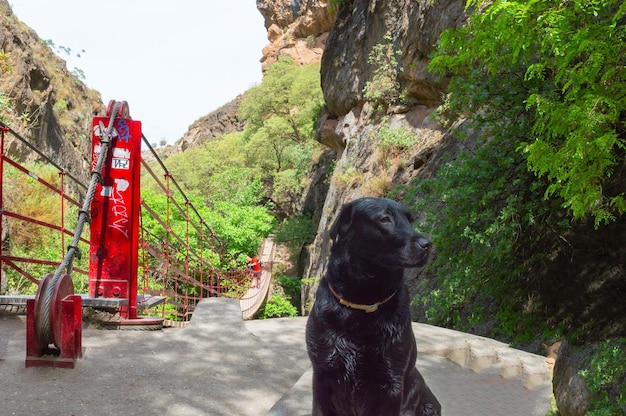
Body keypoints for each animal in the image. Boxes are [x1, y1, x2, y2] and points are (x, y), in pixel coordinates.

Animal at [306, 197, 441, 416]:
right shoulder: (322, 376)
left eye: (409, 220)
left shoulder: (391, 384)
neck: (363, 304)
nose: (427, 245)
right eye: (384, 219)